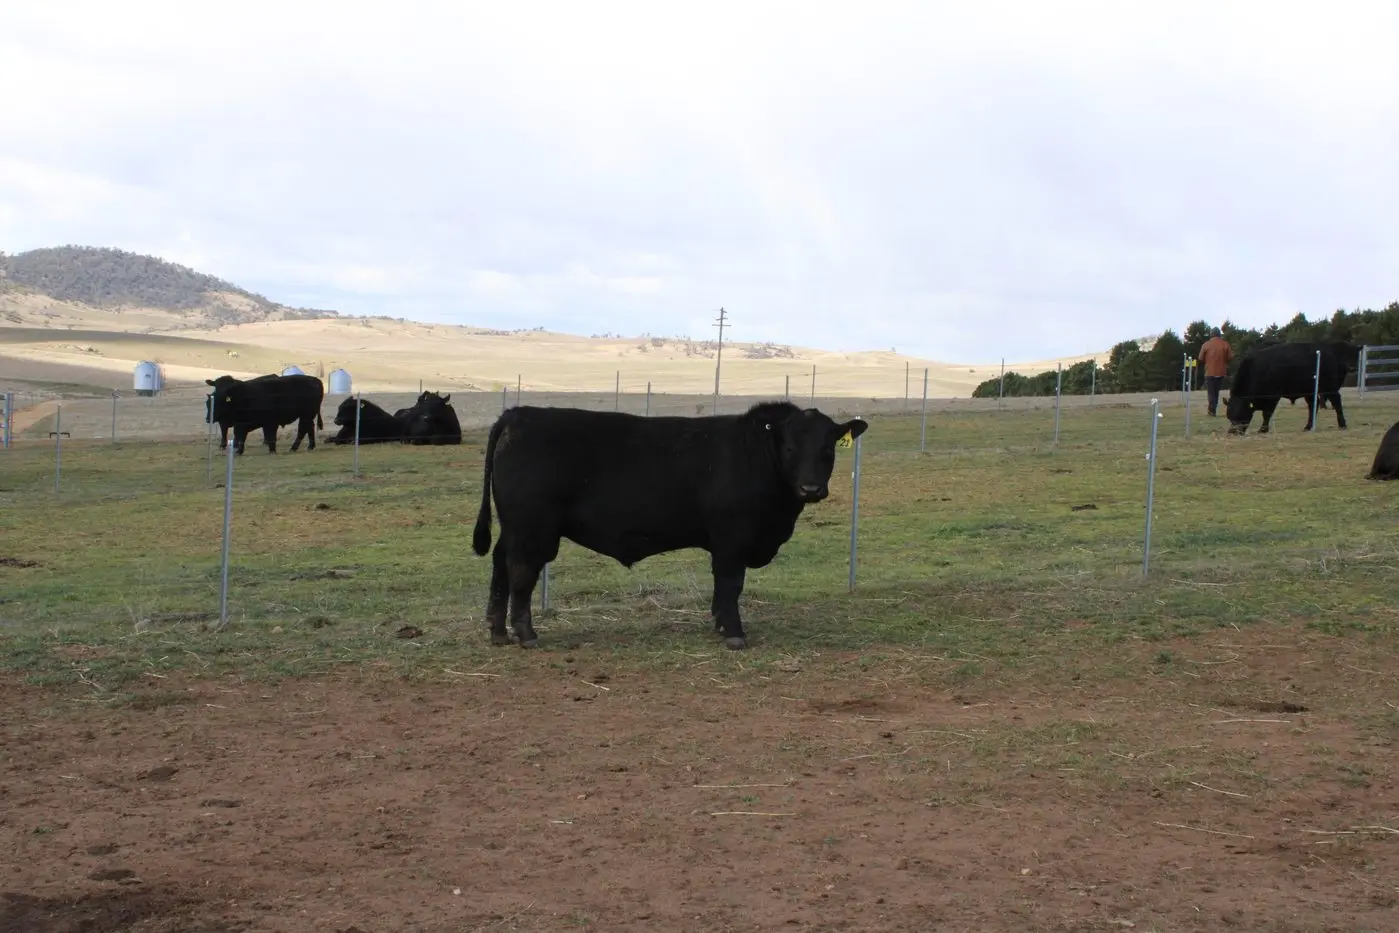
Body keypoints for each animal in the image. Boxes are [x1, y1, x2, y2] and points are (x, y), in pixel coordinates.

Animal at [470, 401, 868, 650]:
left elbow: (721, 588)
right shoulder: (731, 540)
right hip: (533, 529)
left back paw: (497, 631)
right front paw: (734, 633)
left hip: (514, 527)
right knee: (521, 571)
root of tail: (518, 414)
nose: (811, 488)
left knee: (499, 564)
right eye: (789, 448)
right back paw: (525, 633)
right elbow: (730, 585)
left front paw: (719, 624)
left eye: (829, 448)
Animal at [1224, 341, 1361, 435]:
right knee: (1314, 405)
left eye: (1240, 413)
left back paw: (1342, 424)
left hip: (1330, 387)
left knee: (1336, 402)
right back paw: (1308, 426)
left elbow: (1267, 414)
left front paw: (1263, 430)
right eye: (1229, 416)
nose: (1232, 432)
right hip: (1310, 391)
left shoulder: (1273, 396)